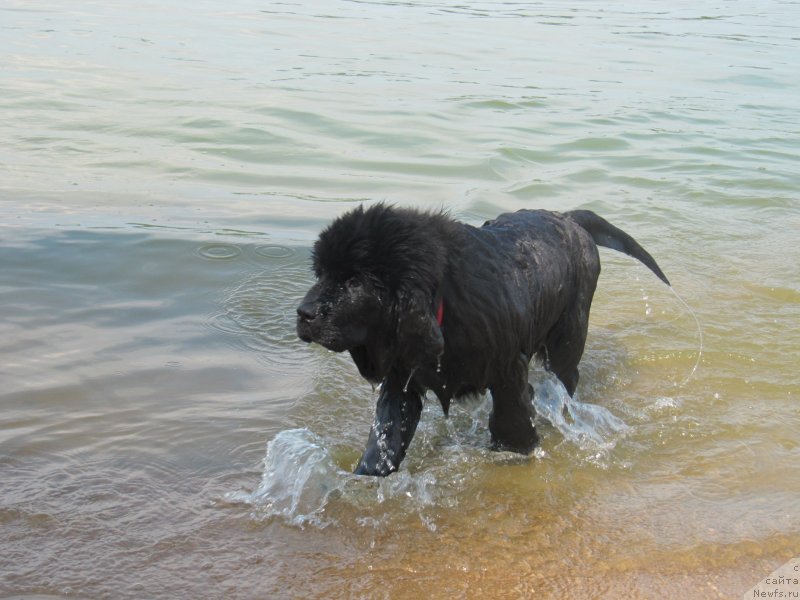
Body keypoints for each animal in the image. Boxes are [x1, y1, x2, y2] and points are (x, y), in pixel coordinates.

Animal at [296, 204, 668, 476]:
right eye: (321, 274)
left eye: (354, 282)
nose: (303, 313)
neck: (443, 308)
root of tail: (569, 217)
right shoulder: (403, 377)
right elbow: (386, 434)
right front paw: (367, 477)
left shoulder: (506, 370)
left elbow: (512, 422)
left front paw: (517, 451)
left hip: (570, 331)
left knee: (565, 376)